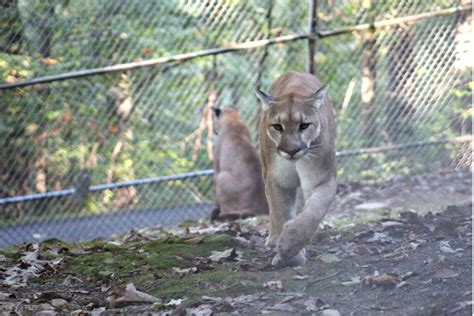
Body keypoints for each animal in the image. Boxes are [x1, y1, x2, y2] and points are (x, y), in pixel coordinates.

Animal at [256, 71, 336, 266]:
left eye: (304, 125)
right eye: (278, 126)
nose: (291, 151)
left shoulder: (323, 180)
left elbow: (314, 211)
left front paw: (290, 244)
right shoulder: (278, 181)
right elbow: (280, 212)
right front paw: (290, 255)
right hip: (265, 170)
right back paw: (273, 238)